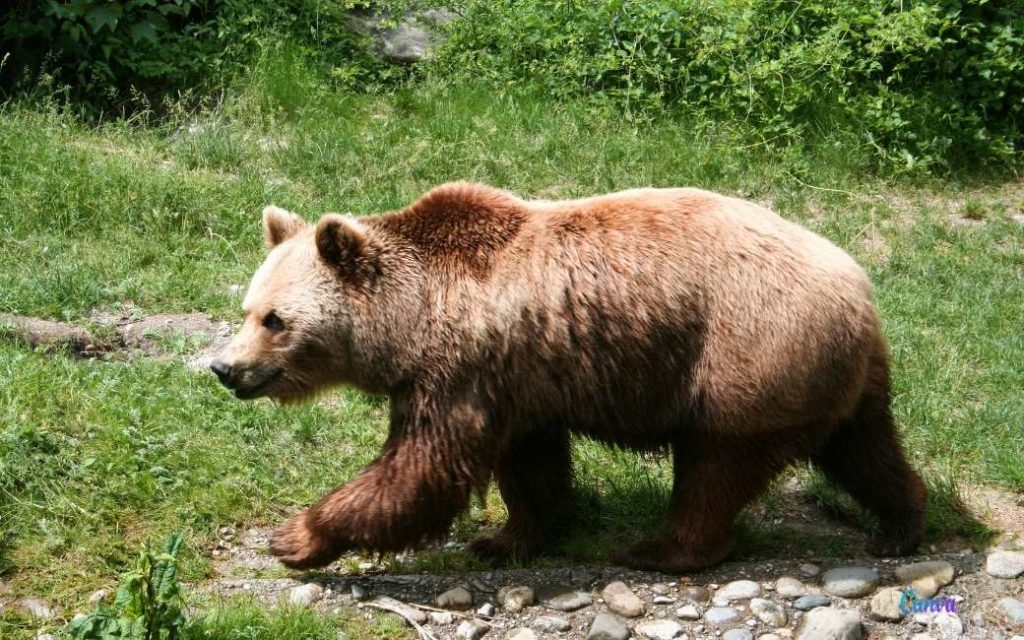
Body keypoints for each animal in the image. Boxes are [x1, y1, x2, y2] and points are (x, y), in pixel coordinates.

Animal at [209, 182, 929, 573]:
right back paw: (901, 524)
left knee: (716, 463)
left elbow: (422, 468)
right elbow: (529, 467)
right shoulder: (521, 379)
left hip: (746, 351)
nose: (226, 368)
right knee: (864, 448)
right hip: (837, 374)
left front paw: (298, 536)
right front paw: (507, 538)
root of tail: (860, 286)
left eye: (276, 320)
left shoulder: (459, 367)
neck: (411, 317)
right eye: (246, 308)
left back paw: (663, 549)